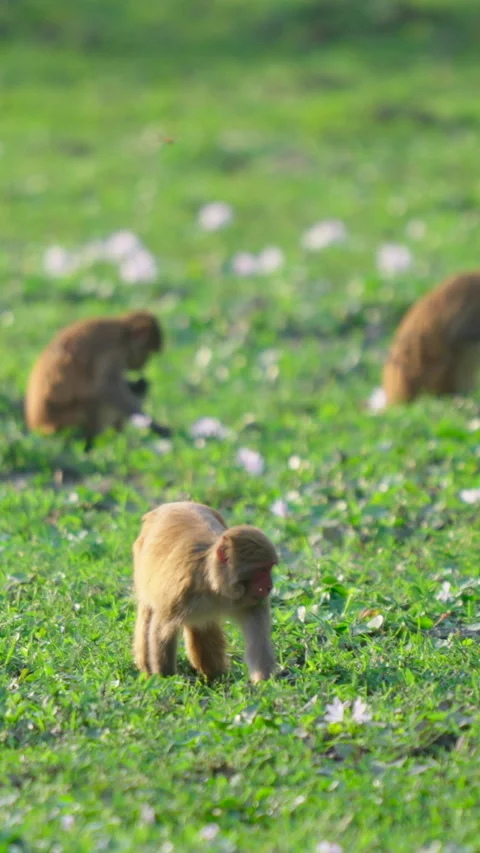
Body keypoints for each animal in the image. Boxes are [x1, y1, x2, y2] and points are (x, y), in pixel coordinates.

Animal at [24, 311, 172, 451]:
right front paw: (155, 425)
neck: (122, 333)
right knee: (95, 399)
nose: (144, 365)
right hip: (66, 422)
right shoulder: (113, 350)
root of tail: (40, 428)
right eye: (147, 354)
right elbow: (105, 388)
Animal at [132, 501, 278, 683]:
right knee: (147, 613)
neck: (217, 588)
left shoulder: (254, 600)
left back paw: (215, 676)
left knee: (202, 625)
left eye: (269, 568)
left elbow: (258, 641)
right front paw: (166, 679)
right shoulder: (180, 593)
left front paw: (265, 683)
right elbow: (162, 630)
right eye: (262, 570)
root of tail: (171, 504)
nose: (269, 586)